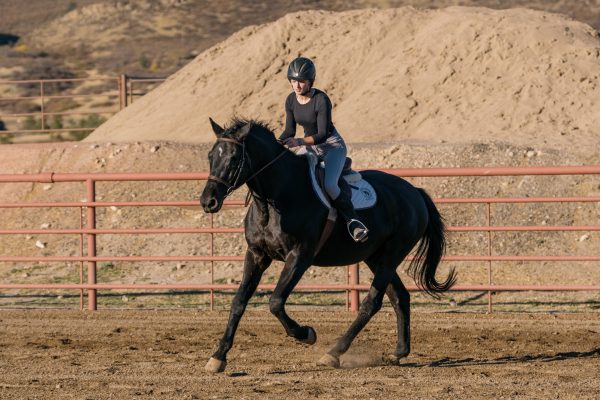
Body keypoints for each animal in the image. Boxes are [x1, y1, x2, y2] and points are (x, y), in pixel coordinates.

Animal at [200, 118, 454, 372]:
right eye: (211, 155)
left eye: (234, 157)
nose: (207, 201)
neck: (277, 197)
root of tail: (415, 193)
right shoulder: (257, 255)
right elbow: (239, 302)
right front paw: (218, 356)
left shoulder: (300, 256)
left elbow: (275, 302)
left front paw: (306, 334)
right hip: (376, 258)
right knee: (400, 297)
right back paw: (399, 352)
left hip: (391, 256)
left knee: (371, 303)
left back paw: (334, 352)